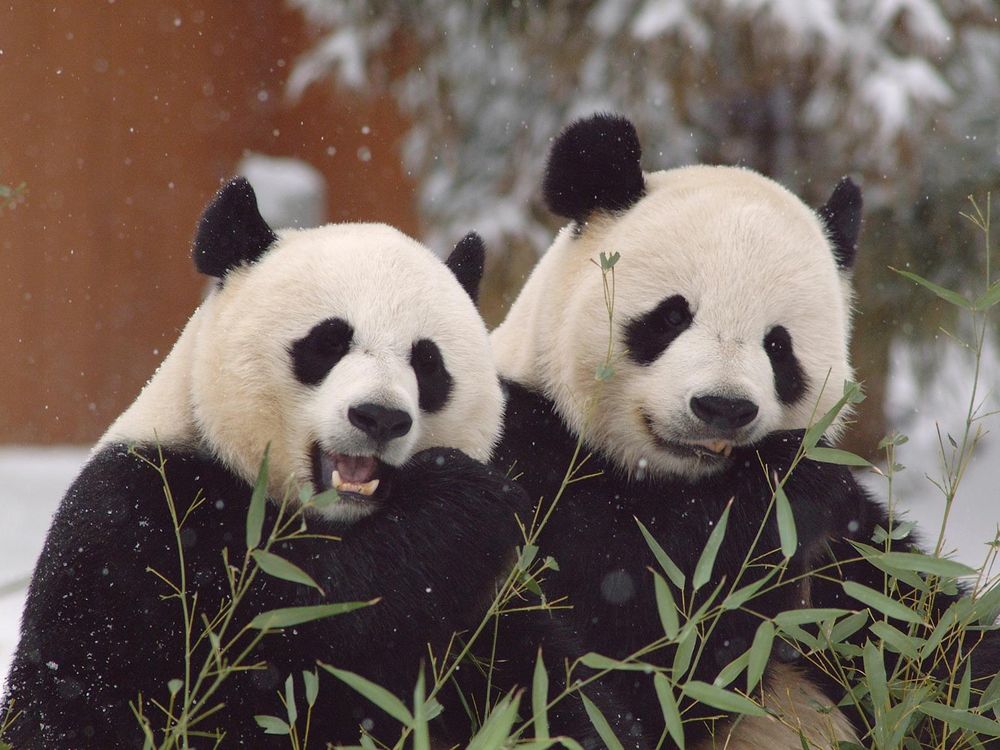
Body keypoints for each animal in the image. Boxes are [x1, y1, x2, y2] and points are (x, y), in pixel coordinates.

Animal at [490, 114, 1000, 748]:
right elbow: (641, 635)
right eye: (671, 316)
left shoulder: (853, 563)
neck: (676, 482)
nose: (723, 407)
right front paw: (786, 486)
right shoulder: (526, 460)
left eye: (778, 346)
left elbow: (934, 647)